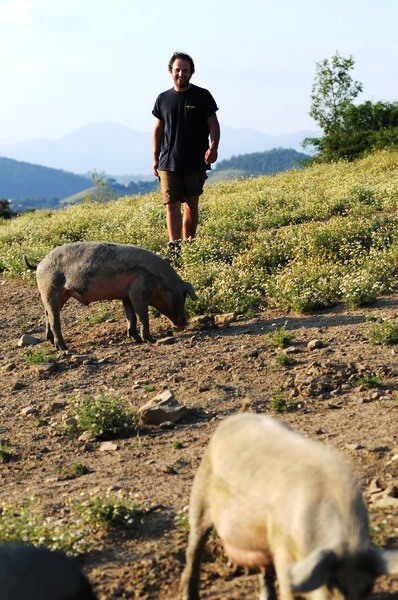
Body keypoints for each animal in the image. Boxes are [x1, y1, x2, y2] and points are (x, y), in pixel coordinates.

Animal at [24, 241, 197, 350]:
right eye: (183, 296)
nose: (185, 321)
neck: (161, 280)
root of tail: (39, 264)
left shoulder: (126, 295)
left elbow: (131, 317)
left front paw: (136, 339)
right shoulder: (139, 292)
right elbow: (143, 316)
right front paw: (150, 340)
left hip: (57, 295)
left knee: (47, 314)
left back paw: (51, 342)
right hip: (50, 290)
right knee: (54, 320)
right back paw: (64, 348)